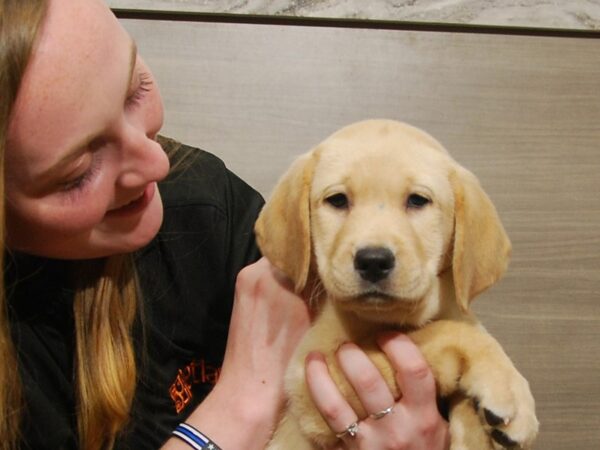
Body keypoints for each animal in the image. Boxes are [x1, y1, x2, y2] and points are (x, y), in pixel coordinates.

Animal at [258, 119, 540, 450]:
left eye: (417, 200)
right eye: (337, 200)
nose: (373, 261)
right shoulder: (308, 374)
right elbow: (448, 332)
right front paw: (507, 387)